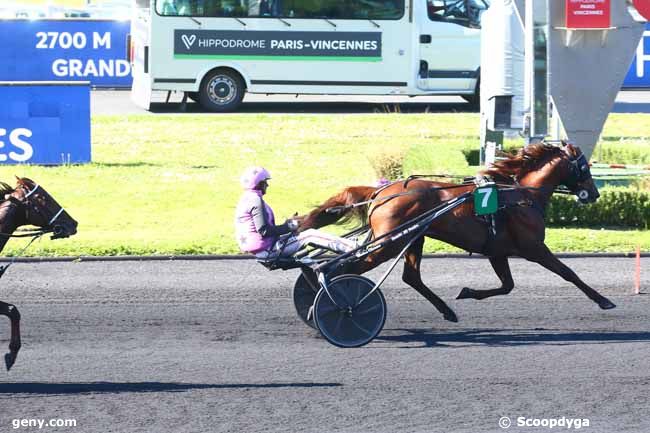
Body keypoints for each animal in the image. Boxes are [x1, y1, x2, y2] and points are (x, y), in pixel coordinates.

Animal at [298, 143, 612, 322]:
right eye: (585, 167)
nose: (594, 194)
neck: (521, 195)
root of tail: (380, 192)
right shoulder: (534, 248)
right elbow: (568, 273)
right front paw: (604, 300)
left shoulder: (496, 251)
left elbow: (507, 285)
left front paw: (467, 292)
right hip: (389, 244)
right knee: (343, 268)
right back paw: (328, 304)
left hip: (413, 237)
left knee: (410, 276)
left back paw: (447, 311)